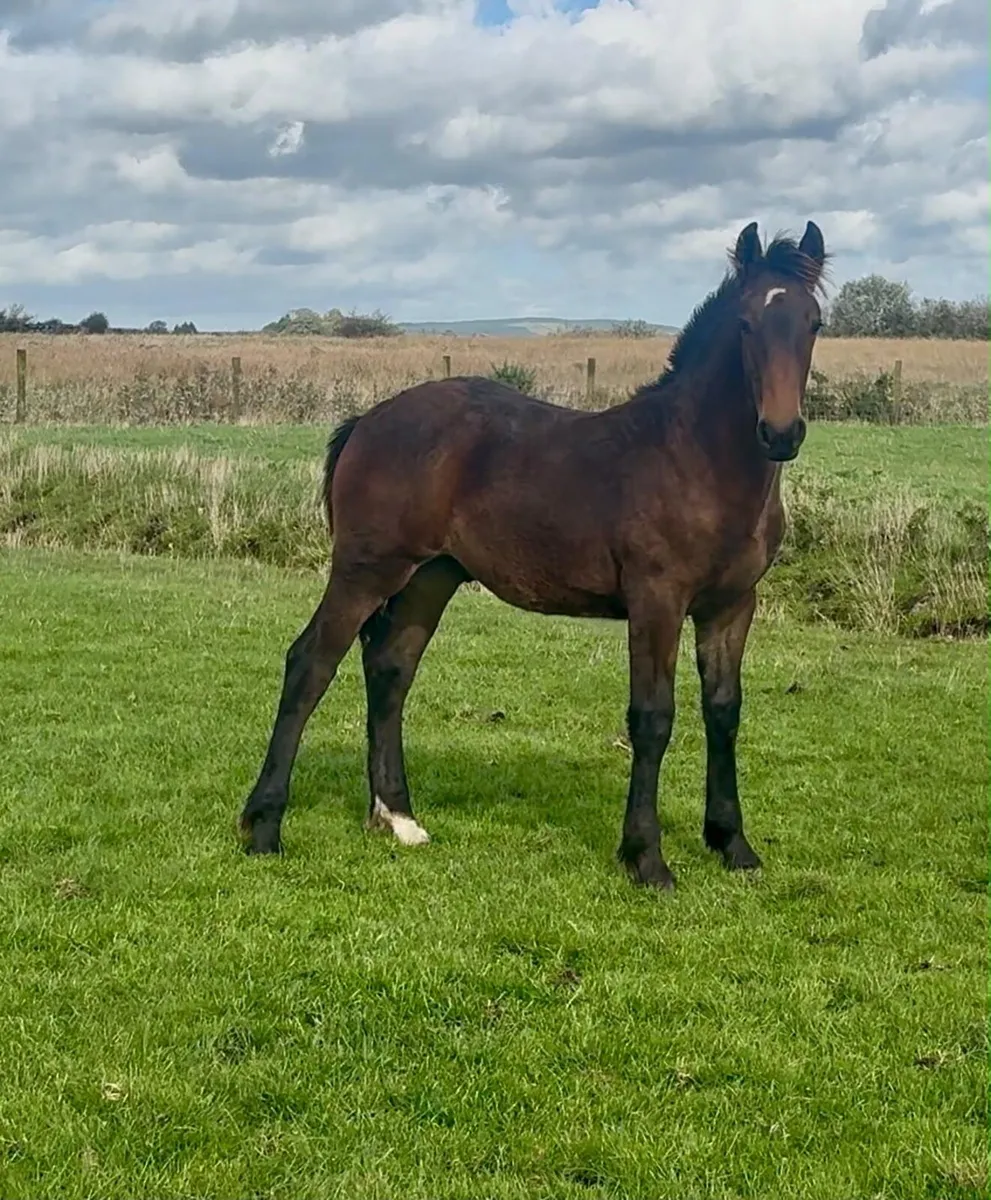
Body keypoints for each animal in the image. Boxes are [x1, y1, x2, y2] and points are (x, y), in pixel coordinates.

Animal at [238, 219, 827, 890]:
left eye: (813, 323)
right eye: (747, 324)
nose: (780, 433)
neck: (696, 460)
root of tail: (367, 420)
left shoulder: (731, 605)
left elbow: (724, 711)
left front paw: (733, 844)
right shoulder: (657, 600)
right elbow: (653, 717)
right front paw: (646, 858)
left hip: (429, 579)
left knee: (390, 669)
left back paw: (399, 818)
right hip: (366, 570)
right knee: (310, 663)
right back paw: (264, 827)